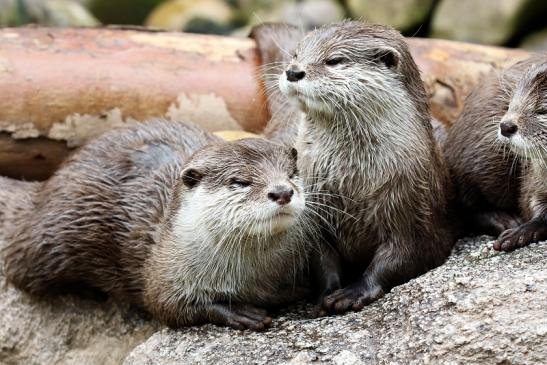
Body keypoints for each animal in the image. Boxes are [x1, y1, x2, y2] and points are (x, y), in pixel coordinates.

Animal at [254, 21, 458, 312]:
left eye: (334, 60)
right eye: (296, 55)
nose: (293, 71)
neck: (352, 183)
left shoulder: (415, 209)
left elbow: (402, 256)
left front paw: (354, 292)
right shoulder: (314, 217)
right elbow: (320, 258)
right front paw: (326, 293)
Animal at [446, 54, 547, 252]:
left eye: (542, 110)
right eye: (510, 104)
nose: (505, 126)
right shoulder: (534, 180)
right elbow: (532, 204)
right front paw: (520, 232)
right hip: (480, 155)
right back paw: (504, 220)